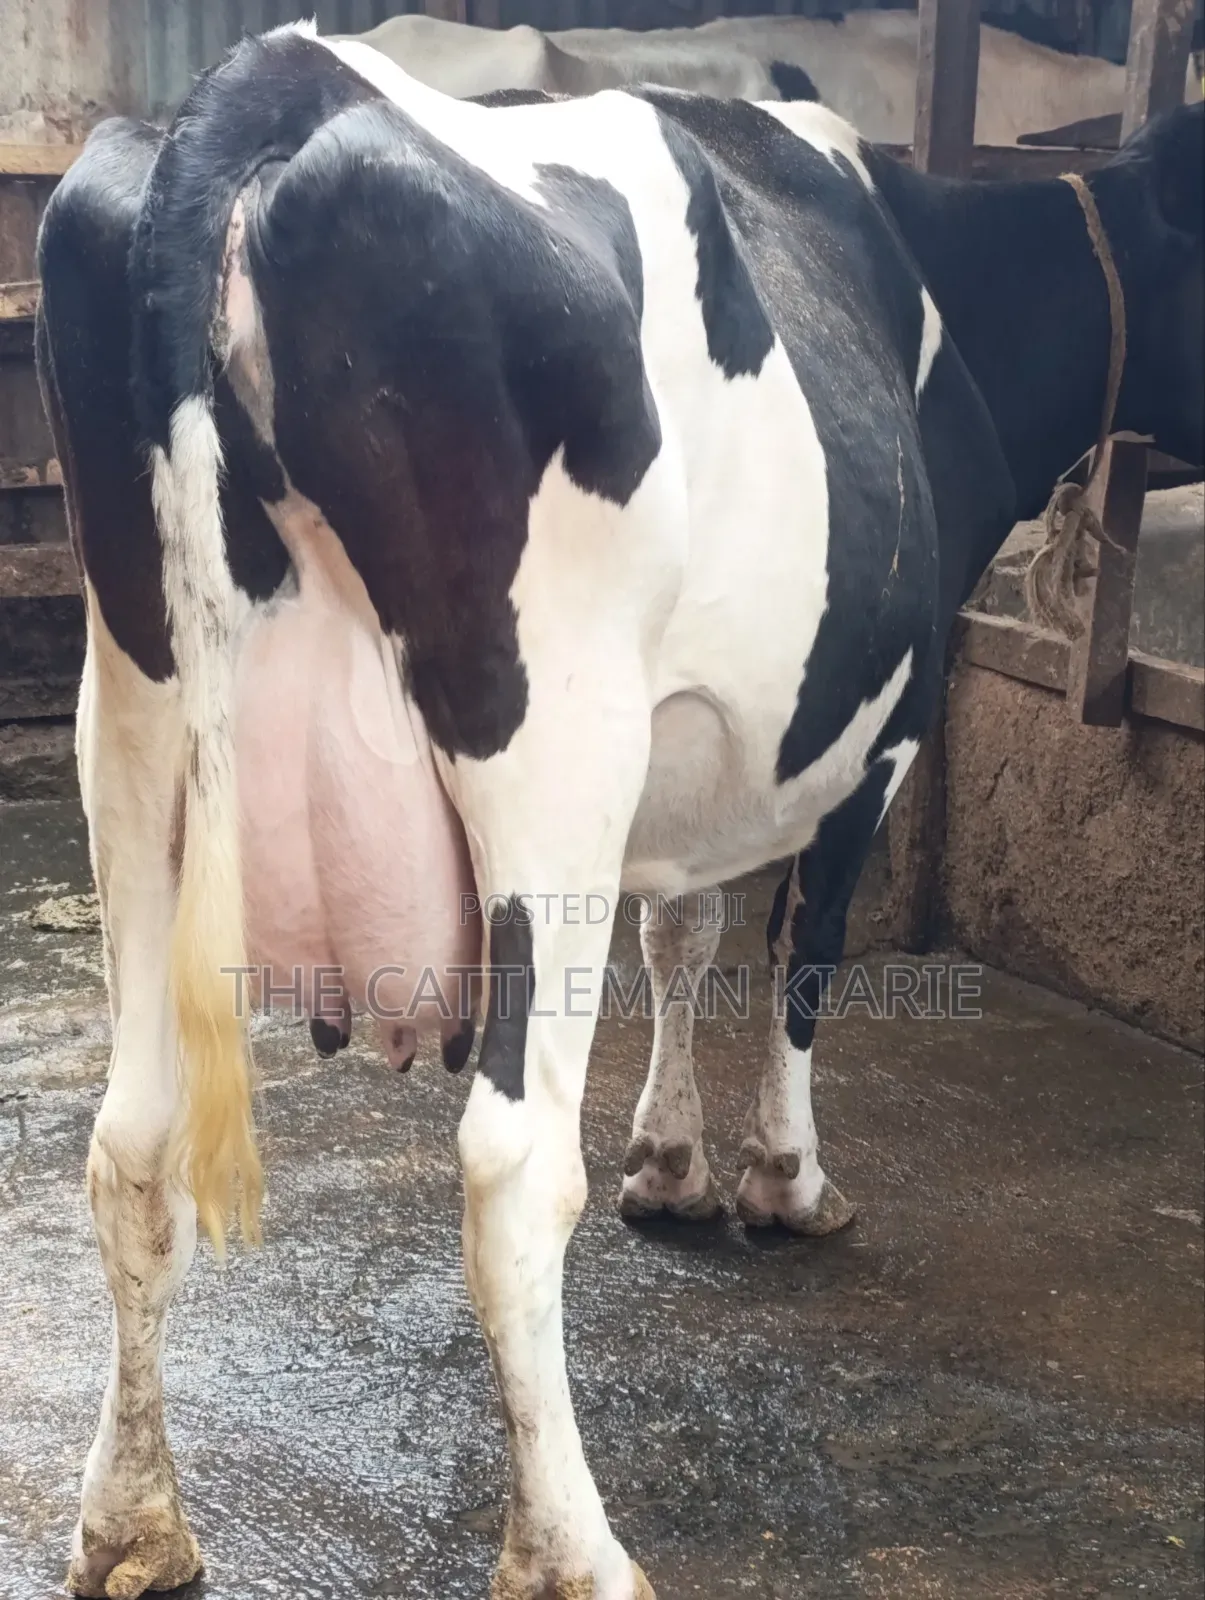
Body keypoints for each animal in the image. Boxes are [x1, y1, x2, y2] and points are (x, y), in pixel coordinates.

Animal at [35, 18, 1202, 1600]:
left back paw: (130, 1521)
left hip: (133, 734)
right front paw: (783, 1178)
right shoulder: (881, 727)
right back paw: (572, 1550)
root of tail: (271, 76)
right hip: (552, 745)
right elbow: (798, 955)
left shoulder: (690, 733)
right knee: (512, 1166)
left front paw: (670, 1159)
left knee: (132, 1141)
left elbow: (686, 926)